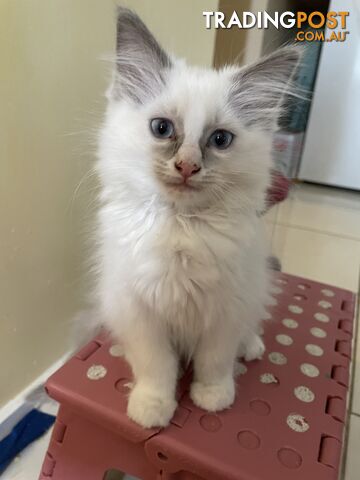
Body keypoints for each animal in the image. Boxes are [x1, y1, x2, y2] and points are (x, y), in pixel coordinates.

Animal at [93, 7, 300, 428]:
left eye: (220, 140)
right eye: (162, 129)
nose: (187, 166)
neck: (180, 227)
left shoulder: (225, 311)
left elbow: (214, 362)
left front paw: (213, 397)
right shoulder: (140, 313)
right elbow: (157, 366)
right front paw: (152, 408)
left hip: (255, 288)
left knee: (249, 327)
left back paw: (252, 347)